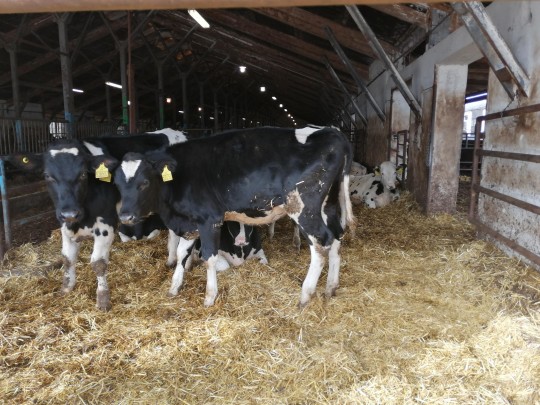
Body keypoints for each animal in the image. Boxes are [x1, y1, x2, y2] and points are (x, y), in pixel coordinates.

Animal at [112, 125, 355, 308]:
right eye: (116, 183)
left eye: (144, 182)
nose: (125, 216)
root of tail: (331, 131)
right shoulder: (189, 222)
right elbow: (182, 253)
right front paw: (174, 287)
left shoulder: (209, 220)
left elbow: (209, 257)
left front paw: (209, 297)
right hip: (329, 205)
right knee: (336, 238)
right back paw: (330, 288)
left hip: (303, 207)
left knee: (321, 243)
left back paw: (305, 295)